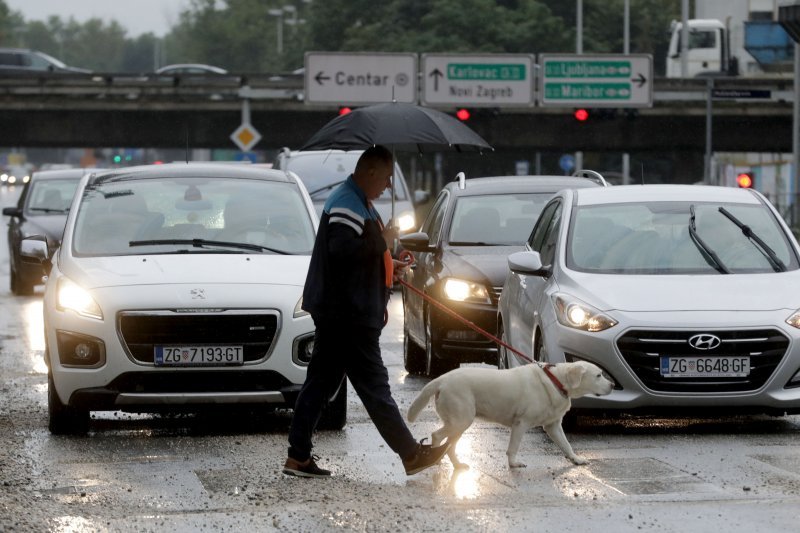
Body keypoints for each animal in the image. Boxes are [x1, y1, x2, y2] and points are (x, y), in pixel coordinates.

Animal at [410, 360, 616, 468]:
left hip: (459, 423)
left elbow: (566, 445)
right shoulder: (521, 424)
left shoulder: (553, 426)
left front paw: (576, 459)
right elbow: (513, 447)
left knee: (449, 445)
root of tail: (442, 379)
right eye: (598, 375)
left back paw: (455, 464)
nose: (613, 385)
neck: (557, 381)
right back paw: (436, 460)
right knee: (437, 435)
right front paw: (514, 463)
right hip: (460, 421)